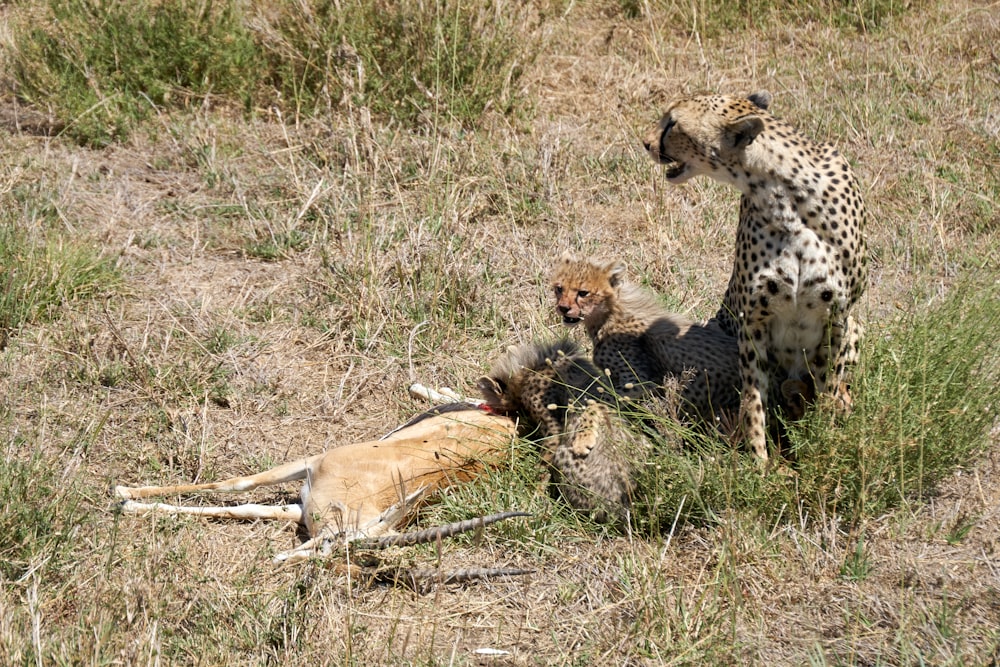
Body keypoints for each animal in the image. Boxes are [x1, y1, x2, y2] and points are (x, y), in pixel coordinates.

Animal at [548, 250, 744, 428]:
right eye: (559, 288)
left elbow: (602, 399)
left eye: (583, 293)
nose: (563, 308)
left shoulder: (638, 381)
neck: (610, 313)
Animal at [644, 90, 864, 464]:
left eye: (672, 123)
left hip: (855, 326)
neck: (784, 197)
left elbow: (829, 387)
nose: (645, 142)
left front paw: (826, 446)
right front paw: (758, 462)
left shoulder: (837, 316)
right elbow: (753, 400)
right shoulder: (753, 321)